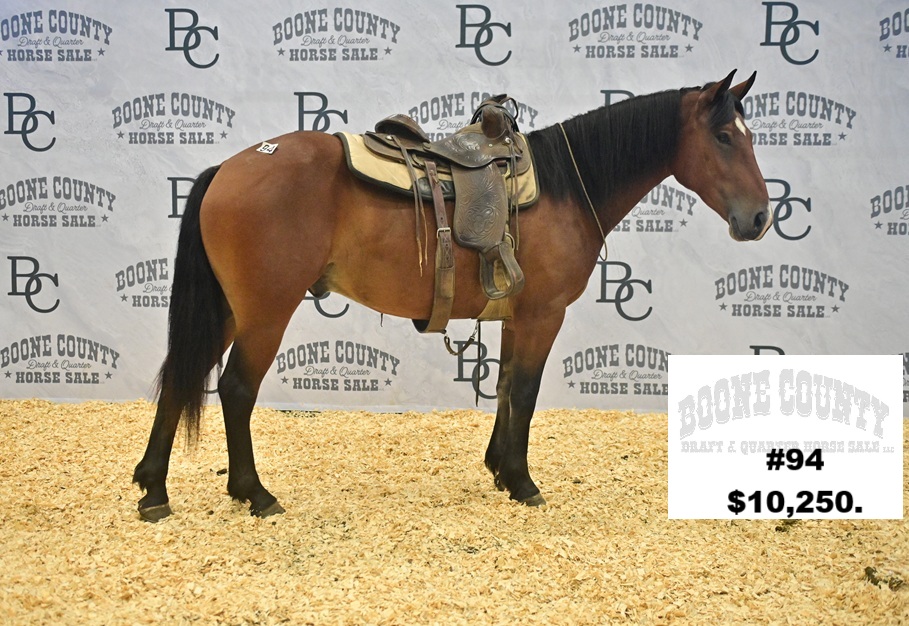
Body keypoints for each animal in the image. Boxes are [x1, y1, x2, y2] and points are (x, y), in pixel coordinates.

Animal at [133, 70, 771, 521]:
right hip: (265, 311)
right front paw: (522, 481)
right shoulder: (543, 315)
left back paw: (153, 489)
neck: (568, 185)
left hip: (228, 308)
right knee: (236, 389)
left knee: (181, 376)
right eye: (722, 136)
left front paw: (499, 470)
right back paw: (254, 493)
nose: (761, 217)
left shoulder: (516, 316)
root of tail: (228, 169)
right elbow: (526, 392)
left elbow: (508, 386)